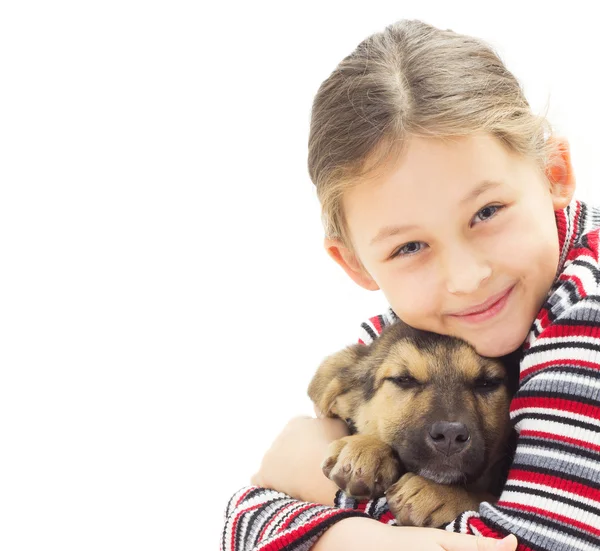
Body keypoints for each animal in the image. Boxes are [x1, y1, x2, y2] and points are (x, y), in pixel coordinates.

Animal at [308, 322, 516, 528]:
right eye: (404, 379)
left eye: (487, 383)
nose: (450, 435)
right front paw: (366, 449)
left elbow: (485, 498)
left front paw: (439, 495)